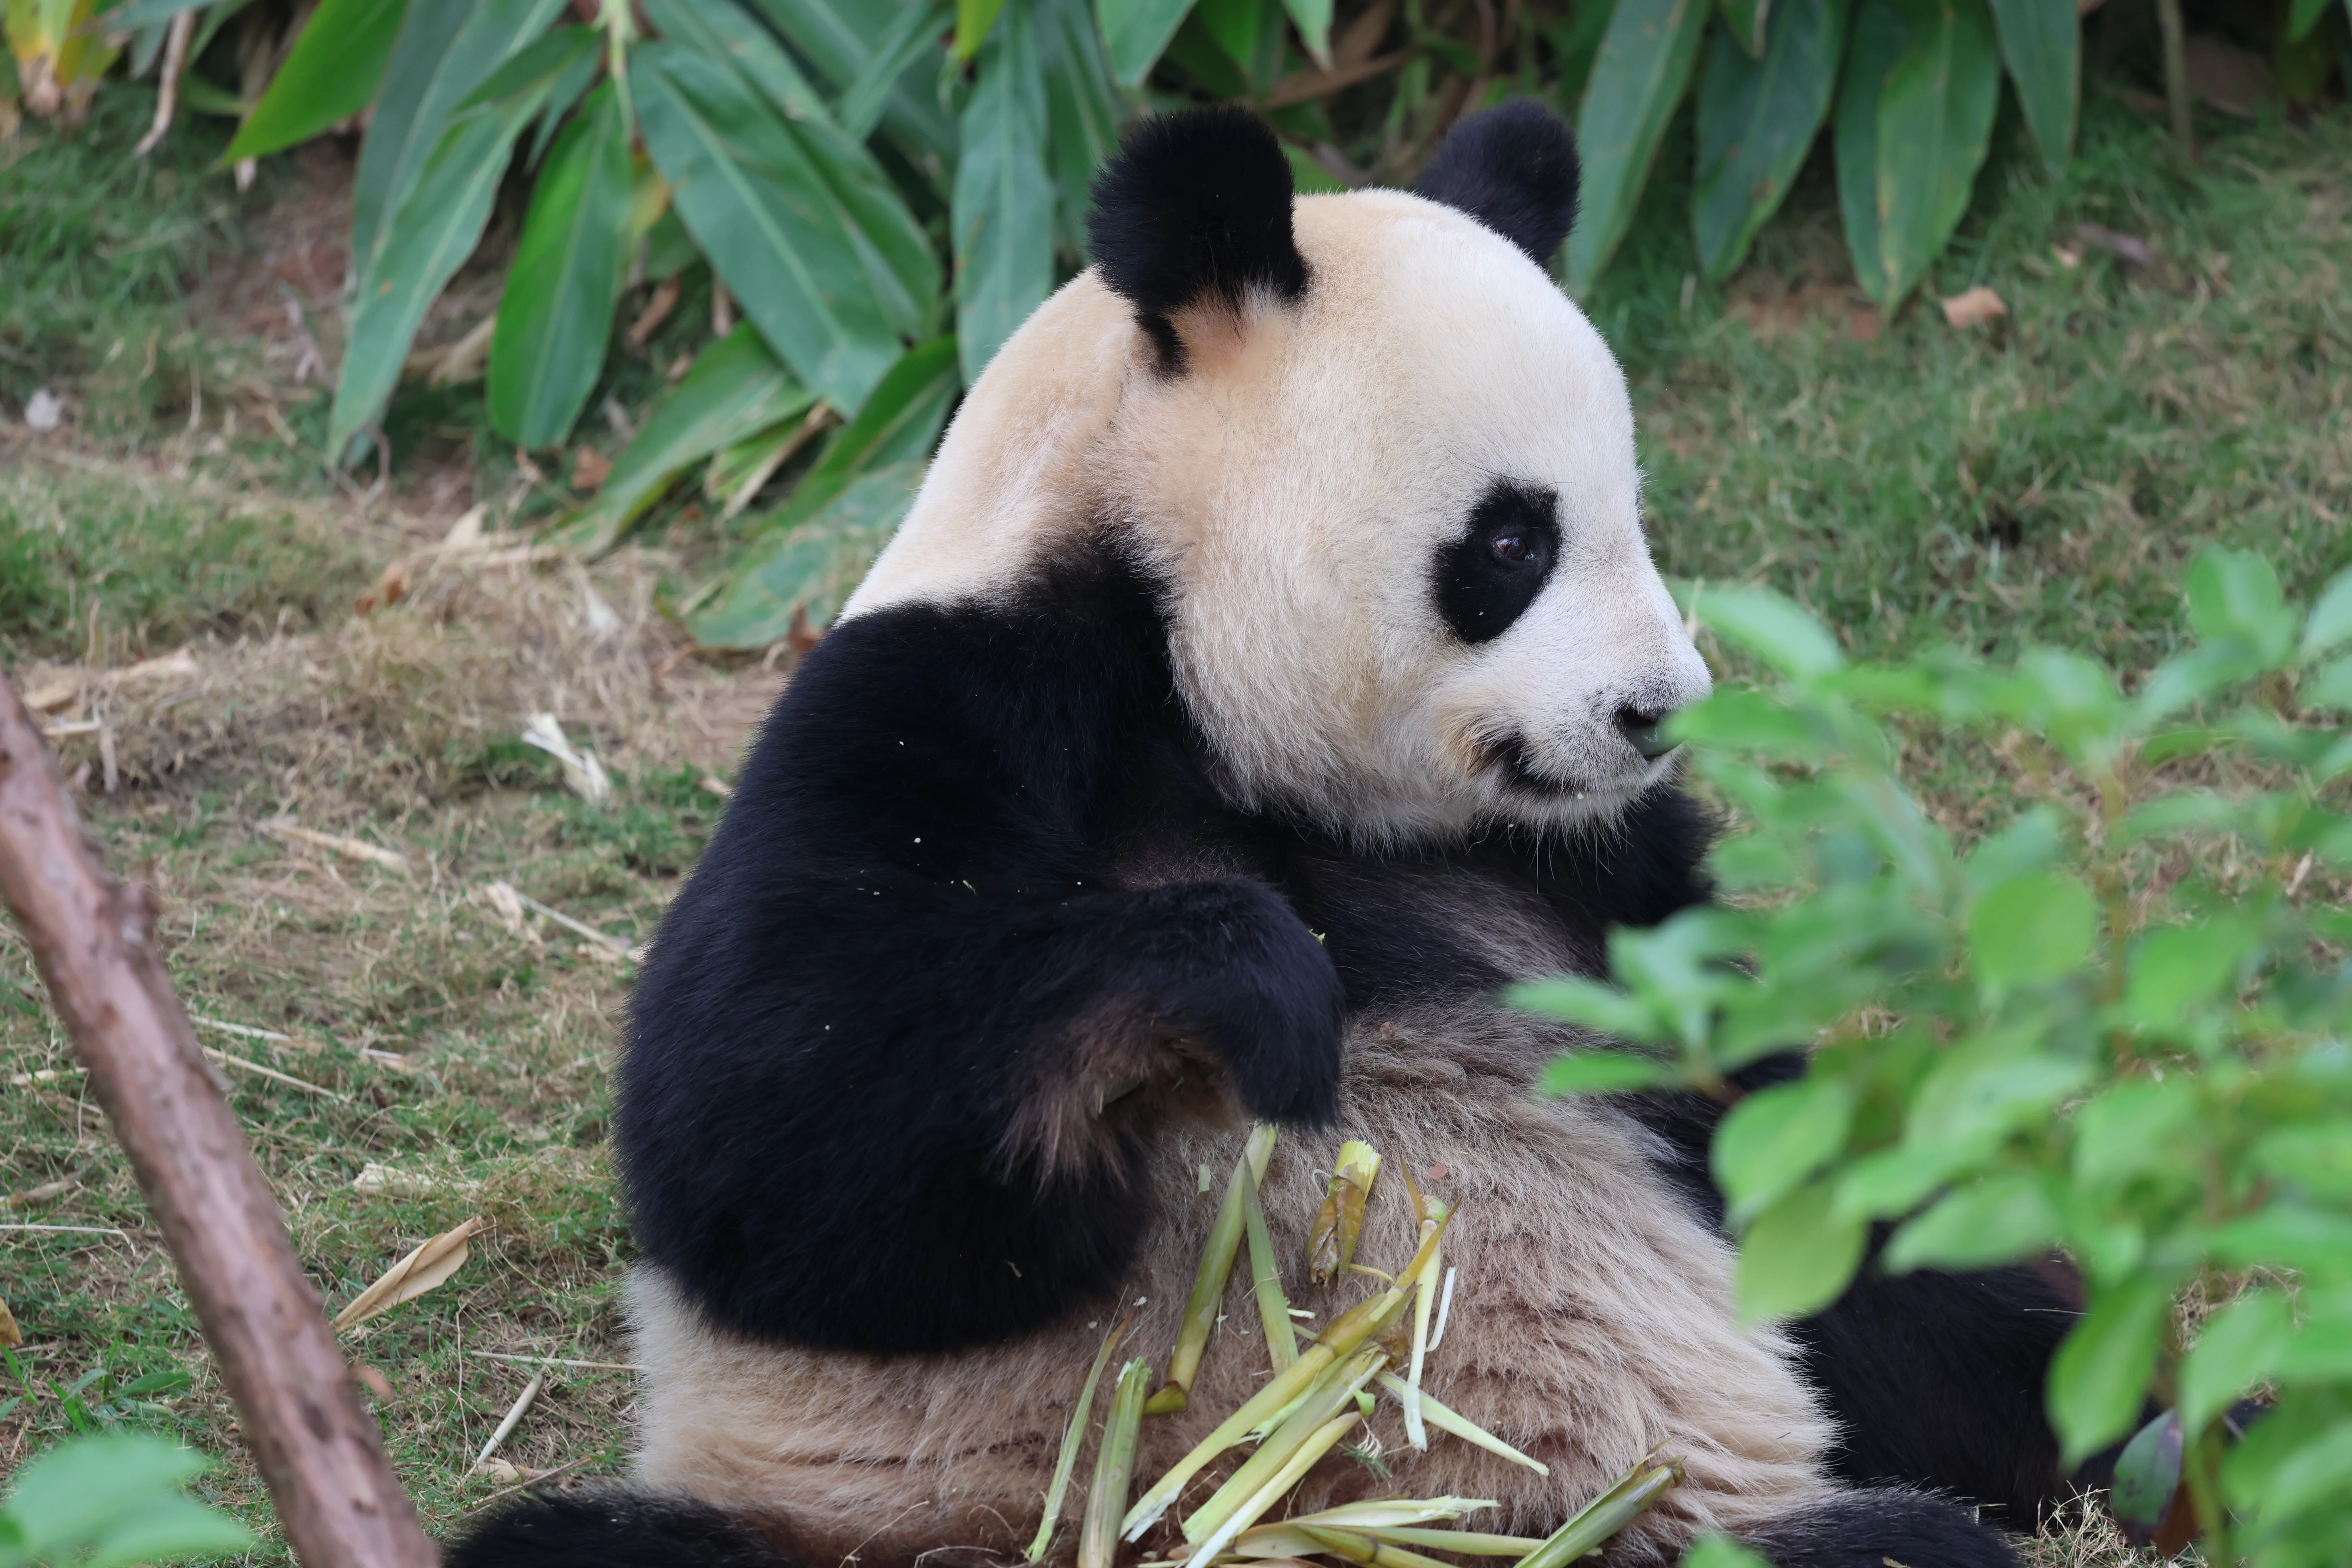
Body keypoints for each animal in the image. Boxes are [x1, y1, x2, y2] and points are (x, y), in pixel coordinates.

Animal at [452, 102, 2085, 1568]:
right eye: (1512, 540)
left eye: (1629, 512)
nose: (1654, 714)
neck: (1209, 698)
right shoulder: (946, 689)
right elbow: (765, 1120)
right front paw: (1255, 990)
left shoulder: (1588, 875)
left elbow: (1774, 1137)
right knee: (580, 1544)